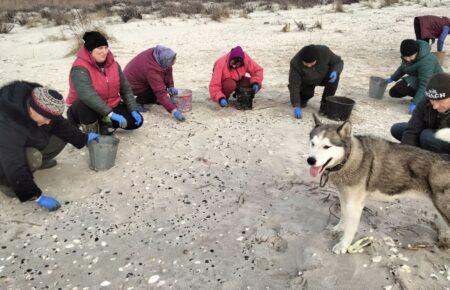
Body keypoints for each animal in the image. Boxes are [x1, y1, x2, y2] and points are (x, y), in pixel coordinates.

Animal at [308, 115, 450, 254]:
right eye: (312, 143)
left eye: (327, 146)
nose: (310, 160)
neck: (349, 158)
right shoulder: (343, 196)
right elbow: (343, 214)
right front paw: (339, 227)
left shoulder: (354, 204)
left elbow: (350, 229)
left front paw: (343, 245)